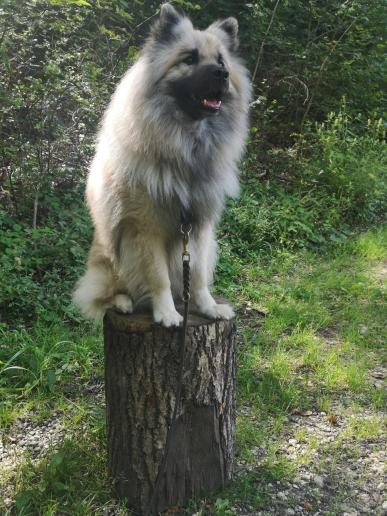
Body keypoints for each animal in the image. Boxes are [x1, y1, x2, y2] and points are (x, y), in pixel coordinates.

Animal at [73, 3, 252, 326]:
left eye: (221, 60)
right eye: (189, 58)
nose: (222, 73)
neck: (187, 144)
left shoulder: (198, 229)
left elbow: (197, 276)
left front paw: (207, 307)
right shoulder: (146, 229)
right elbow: (159, 278)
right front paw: (167, 313)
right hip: (111, 262)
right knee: (106, 294)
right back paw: (124, 303)